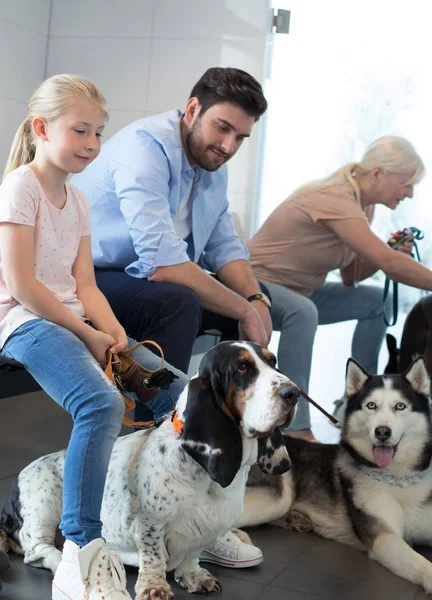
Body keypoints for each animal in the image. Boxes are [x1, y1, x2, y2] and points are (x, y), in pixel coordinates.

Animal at [0, 342, 298, 600]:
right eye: (242, 367)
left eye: (273, 361)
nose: (293, 393)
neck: (202, 475)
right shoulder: (149, 524)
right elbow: (153, 557)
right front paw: (154, 588)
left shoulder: (205, 529)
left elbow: (192, 554)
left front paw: (195, 576)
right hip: (44, 507)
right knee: (37, 550)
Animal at [238, 356, 432, 596]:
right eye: (371, 405)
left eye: (400, 406)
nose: (382, 432)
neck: (398, 479)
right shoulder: (383, 537)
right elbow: (422, 563)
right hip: (276, 498)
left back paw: (296, 520)